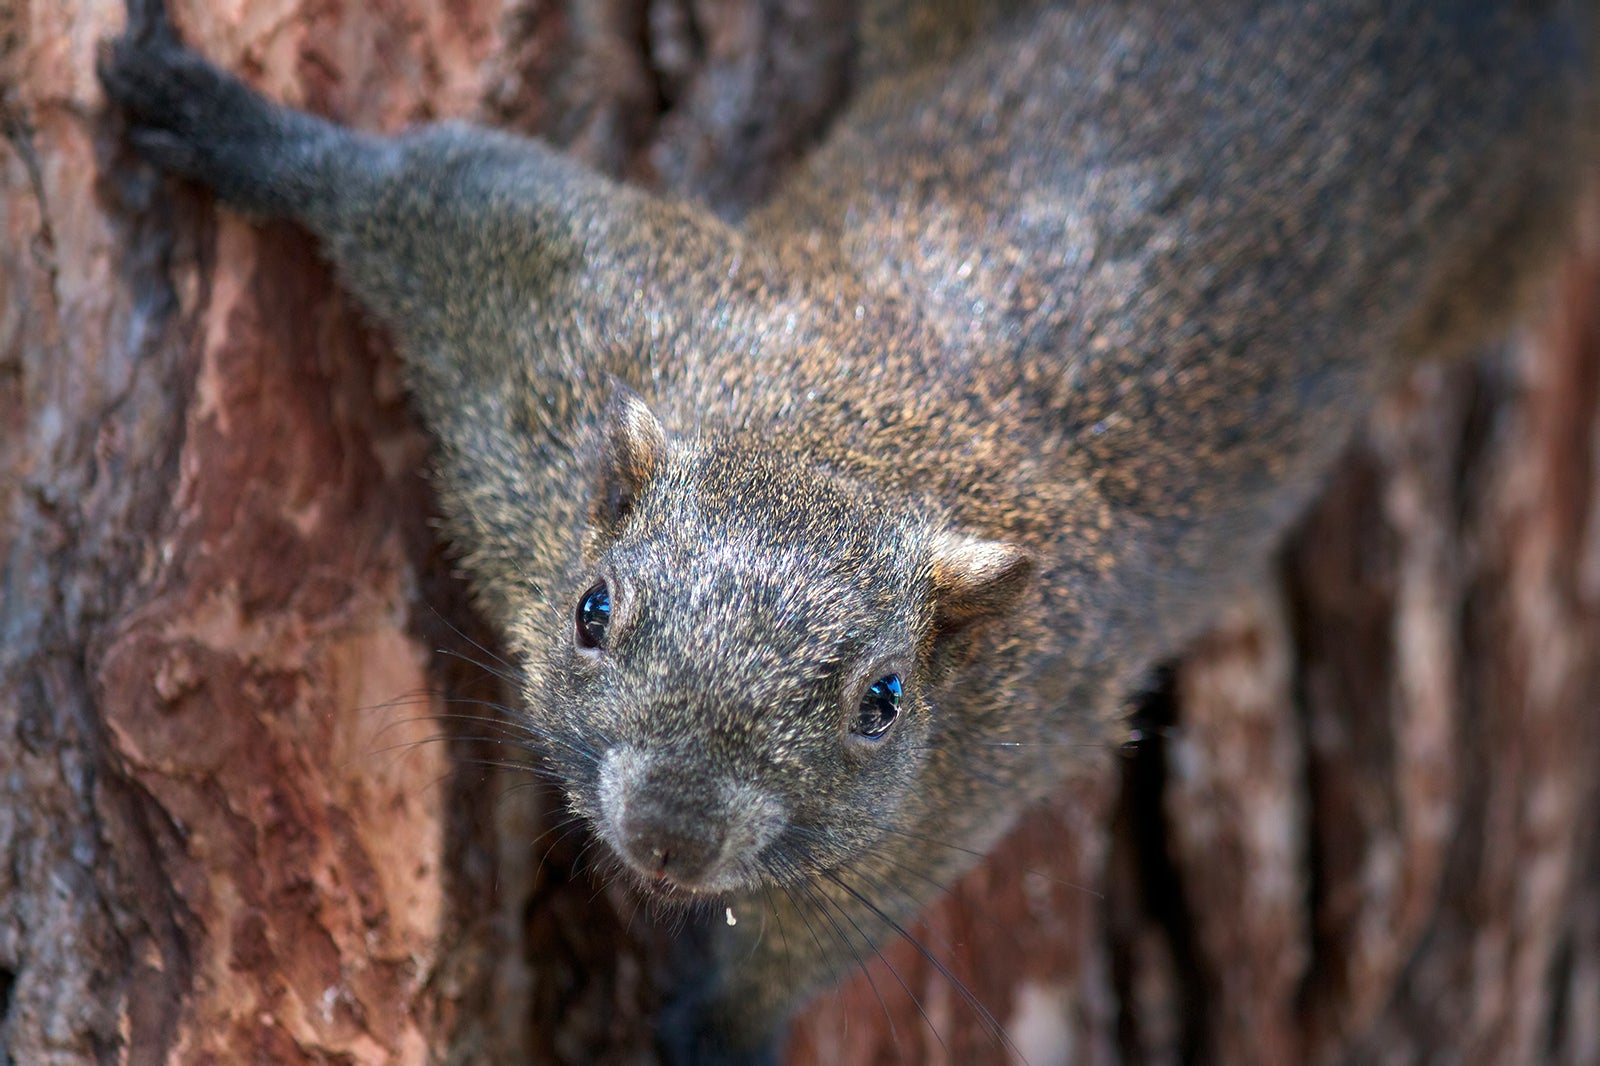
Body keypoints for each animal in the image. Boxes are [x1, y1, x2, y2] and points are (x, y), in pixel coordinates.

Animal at [100, 0, 1587, 1056]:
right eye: (593, 610)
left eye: (881, 701)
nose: (674, 833)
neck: (848, 440)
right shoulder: (566, 311)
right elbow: (429, 181)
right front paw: (221, 117)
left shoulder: (1004, 740)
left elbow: (850, 911)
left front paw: (717, 1030)